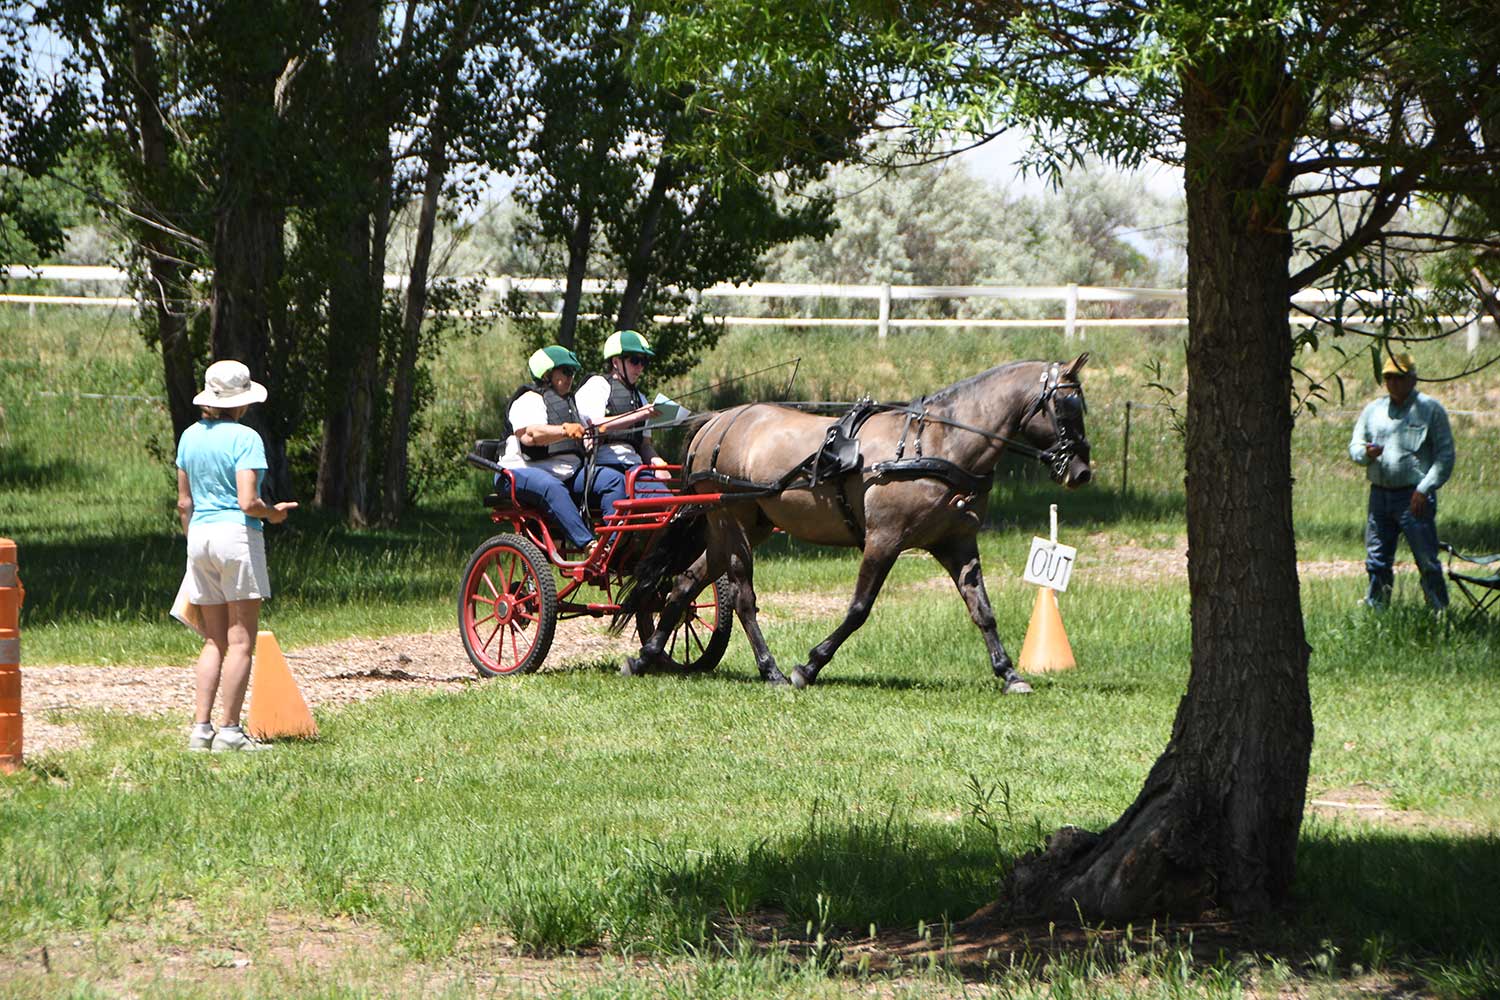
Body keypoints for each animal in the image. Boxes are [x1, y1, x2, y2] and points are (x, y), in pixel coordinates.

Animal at [620, 354, 1092, 691]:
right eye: (1065, 406)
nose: (1082, 472)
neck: (938, 444)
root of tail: (716, 421)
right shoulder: (885, 540)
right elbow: (859, 609)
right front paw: (809, 666)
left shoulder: (957, 542)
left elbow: (982, 609)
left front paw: (1009, 673)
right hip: (730, 520)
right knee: (742, 597)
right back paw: (771, 670)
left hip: (742, 525)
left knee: (685, 584)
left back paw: (646, 656)